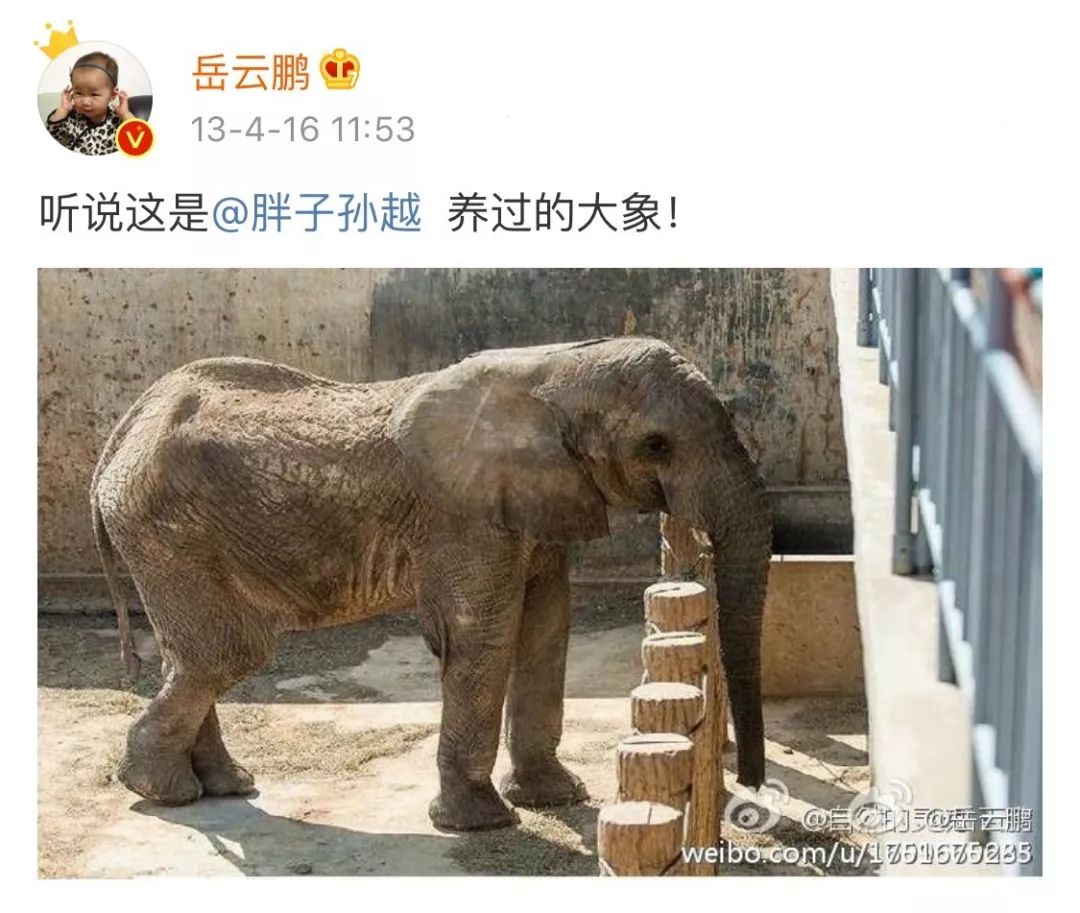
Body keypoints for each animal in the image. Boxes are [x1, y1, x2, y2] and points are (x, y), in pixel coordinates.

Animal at [90, 335, 772, 831]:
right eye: (656, 445)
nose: (750, 790)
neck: (557, 368)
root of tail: (125, 429)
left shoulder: (533, 499)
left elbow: (548, 625)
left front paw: (556, 798)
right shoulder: (462, 515)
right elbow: (484, 637)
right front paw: (482, 825)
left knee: (191, 656)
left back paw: (220, 787)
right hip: (167, 529)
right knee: (227, 652)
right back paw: (163, 792)